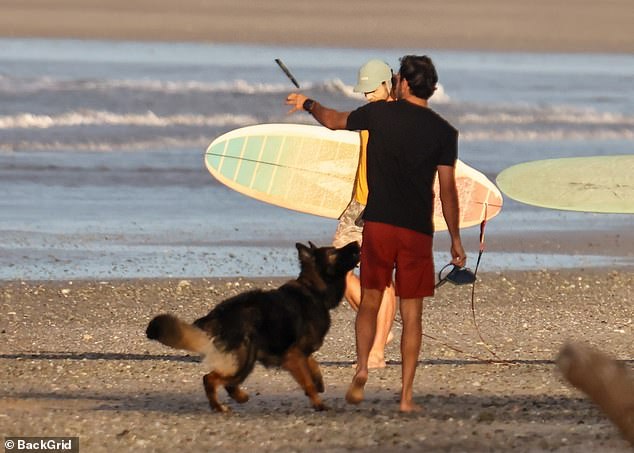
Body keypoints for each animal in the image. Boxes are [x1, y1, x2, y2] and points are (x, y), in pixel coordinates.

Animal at [145, 242, 358, 412]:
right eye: (333, 252)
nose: (356, 243)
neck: (314, 290)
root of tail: (217, 314)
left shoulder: (299, 353)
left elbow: (313, 366)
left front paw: (318, 381)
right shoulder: (293, 355)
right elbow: (307, 382)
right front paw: (319, 403)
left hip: (245, 359)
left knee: (226, 383)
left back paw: (237, 398)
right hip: (244, 359)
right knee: (211, 379)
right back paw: (219, 407)